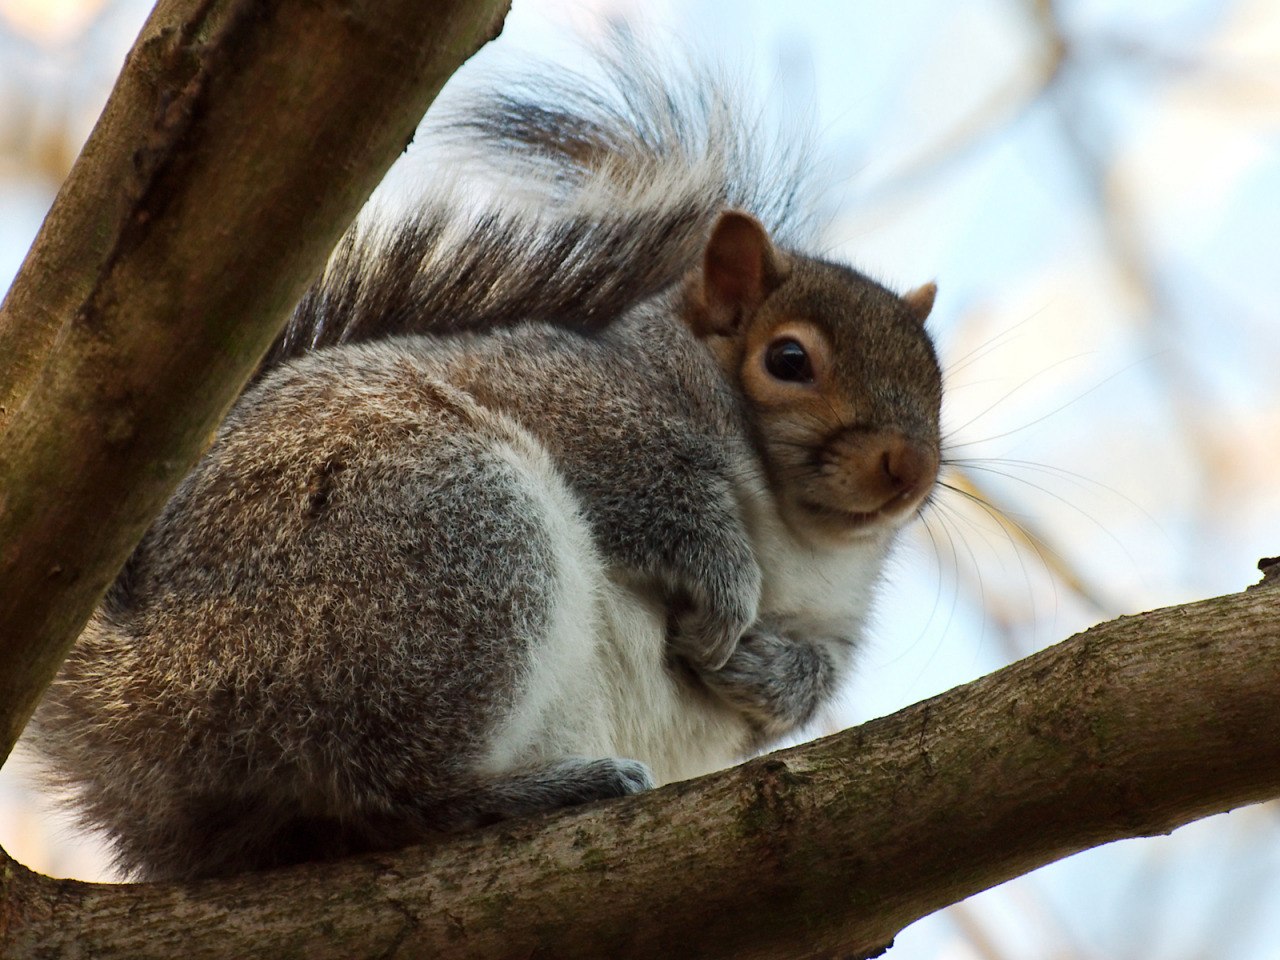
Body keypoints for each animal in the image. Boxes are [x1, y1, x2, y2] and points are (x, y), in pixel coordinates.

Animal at [22, 48, 942, 885]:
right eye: (788, 360)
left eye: (936, 382)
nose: (910, 468)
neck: (797, 534)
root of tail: (153, 693)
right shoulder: (577, 400)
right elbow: (651, 489)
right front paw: (725, 584)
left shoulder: (835, 617)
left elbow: (816, 675)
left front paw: (772, 674)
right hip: (448, 545)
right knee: (387, 793)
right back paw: (533, 794)